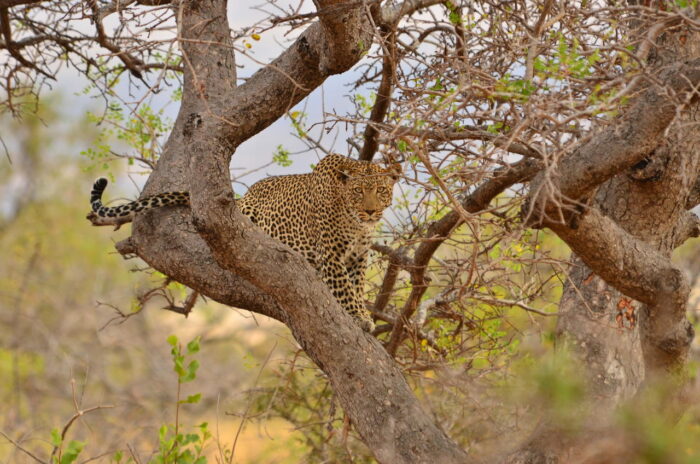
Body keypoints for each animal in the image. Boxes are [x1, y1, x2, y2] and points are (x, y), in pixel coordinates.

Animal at [89, 154, 400, 332]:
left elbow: (356, 286)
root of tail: (245, 197)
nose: (371, 211)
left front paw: (363, 313)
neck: (355, 221)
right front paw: (360, 317)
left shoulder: (358, 256)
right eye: (358, 191)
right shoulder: (332, 256)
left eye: (381, 190)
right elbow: (346, 290)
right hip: (248, 219)